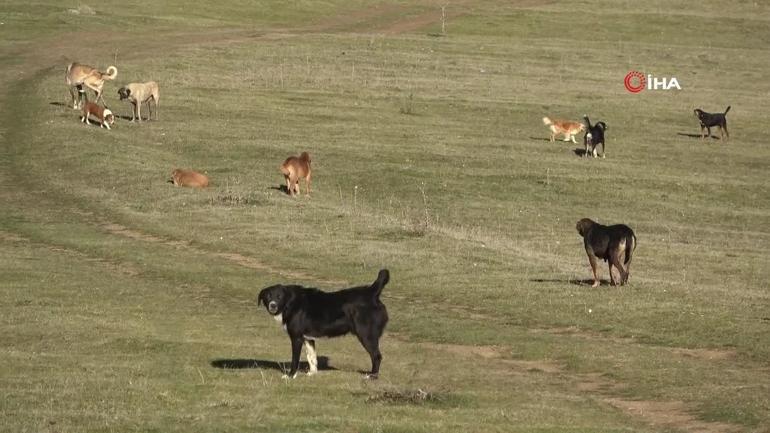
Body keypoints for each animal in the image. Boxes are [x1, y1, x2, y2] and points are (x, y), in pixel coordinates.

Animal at [258, 268, 390, 376]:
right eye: (268, 297)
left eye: (279, 297)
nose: (273, 305)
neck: (290, 303)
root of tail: (371, 292)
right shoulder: (308, 338)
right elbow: (311, 357)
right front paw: (312, 373)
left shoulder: (296, 338)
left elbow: (295, 360)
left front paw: (291, 376)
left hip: (366, 335)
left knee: (377, 356)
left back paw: (372, 376)